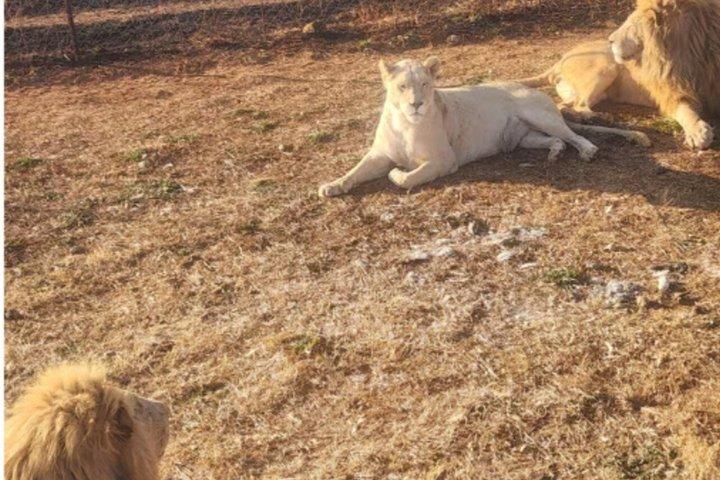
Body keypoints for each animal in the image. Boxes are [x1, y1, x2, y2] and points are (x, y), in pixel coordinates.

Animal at [318, 56, 650, 197]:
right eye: (402, 86)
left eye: (425, 85)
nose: (417, 104)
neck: (404, 123)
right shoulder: (379, 154)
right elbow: (355, 171)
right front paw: (332, 186)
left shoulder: (444, 160)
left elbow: (407, 178)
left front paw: (397, 173)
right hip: (526, 137)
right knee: (557, 141)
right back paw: (554, 156)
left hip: (539, 115)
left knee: (574, 135)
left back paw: (587, 151)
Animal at [520, 0, 720, 150]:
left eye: (631, 25)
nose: (610, 40)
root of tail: (560, 59)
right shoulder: (671, 92)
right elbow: (685, 111)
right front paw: (697, 132)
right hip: (607, 67)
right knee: (577, 104)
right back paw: (600, 117)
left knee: (566, 105)